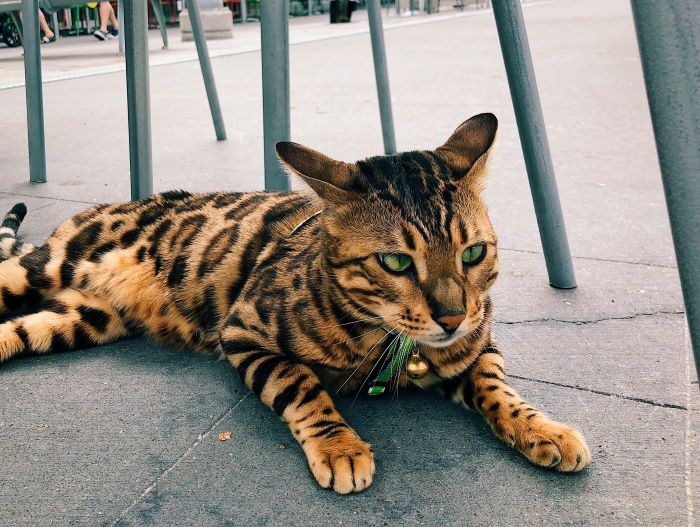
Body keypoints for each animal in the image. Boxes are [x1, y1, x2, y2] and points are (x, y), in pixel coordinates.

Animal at [0, 113, 592, 492]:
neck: (394, 343)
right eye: (395, 262)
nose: (451, 316)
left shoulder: (478, 342)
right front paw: (340, 447)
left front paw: (542, 428)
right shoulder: (242, 332)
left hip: (84, 318)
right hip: (46, 267)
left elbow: (497, 386)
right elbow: (301, 384)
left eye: (473, 253)